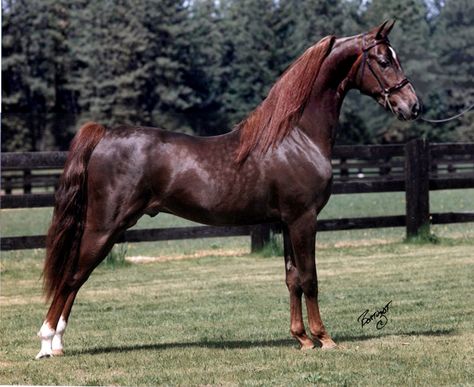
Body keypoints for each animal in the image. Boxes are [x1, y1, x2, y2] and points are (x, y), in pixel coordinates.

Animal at [37, 21, 420, 360]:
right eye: (383, 60)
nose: (412, 106)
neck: (296, 136)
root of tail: (103, 135)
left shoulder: (285, 222)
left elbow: (292, 279)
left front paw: (301, 339)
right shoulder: (303, 219)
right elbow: (310, 278)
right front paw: (324, 339)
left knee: (74, 277)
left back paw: (58, 344)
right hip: (104, 227)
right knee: (73, 275)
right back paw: (46, 344)